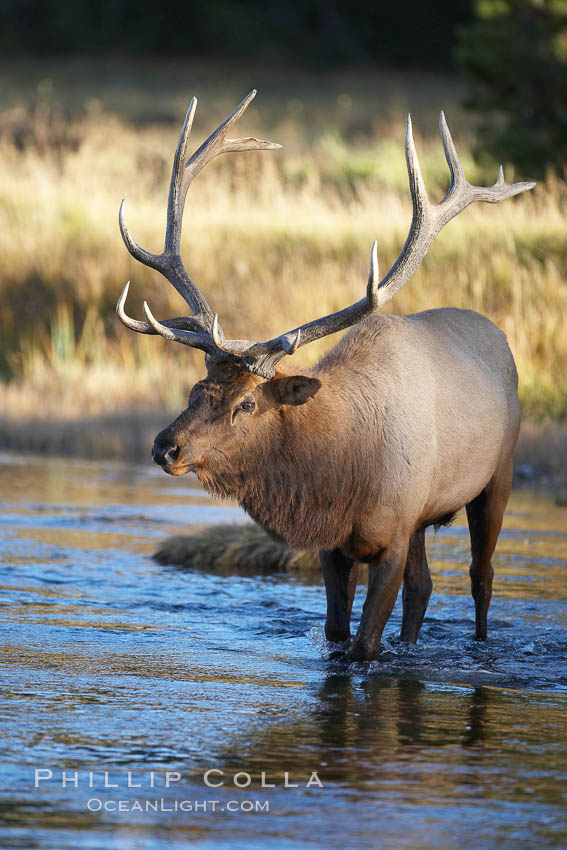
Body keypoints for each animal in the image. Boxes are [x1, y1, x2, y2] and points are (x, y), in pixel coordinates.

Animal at [116, 93, 536, 664]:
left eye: (247, 404)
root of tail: (499, 335)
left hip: (499, 475)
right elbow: (338, 634)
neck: (341, 474)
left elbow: (364, 646)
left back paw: (481, 643)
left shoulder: (394, 533)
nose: (166, 447)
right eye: (196, 390)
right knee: (424, 588)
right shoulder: (337, 545)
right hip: (426, 515)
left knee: (481, 574)